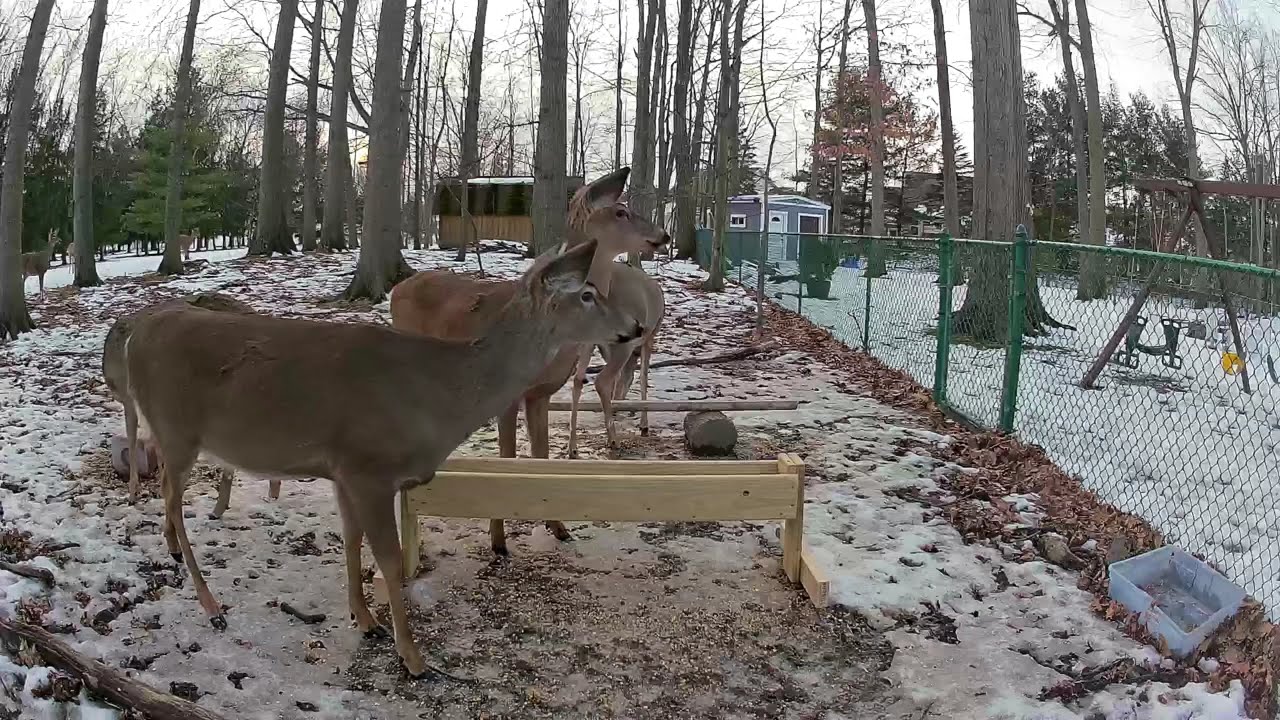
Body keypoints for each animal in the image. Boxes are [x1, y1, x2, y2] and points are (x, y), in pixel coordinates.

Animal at [122, 238, 641, 678]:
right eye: (588, 294)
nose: (634, 327)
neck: (439, 397)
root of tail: (136, 331)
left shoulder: (342, 468)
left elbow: (351, 539)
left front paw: (364, 617)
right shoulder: (368, 467)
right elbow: (389, 559)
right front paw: (412, 656)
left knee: (166, 493)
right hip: (177, 429)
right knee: (170, 497)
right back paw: (210, 604)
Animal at [388, 166, 669, 555]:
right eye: (620, 211)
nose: (664, 235)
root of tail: (396, 289)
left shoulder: (542, 393)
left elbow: (542, 455)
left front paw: (558, 527)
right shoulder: (506, 395)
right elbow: (507, 458)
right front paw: (498, 540)